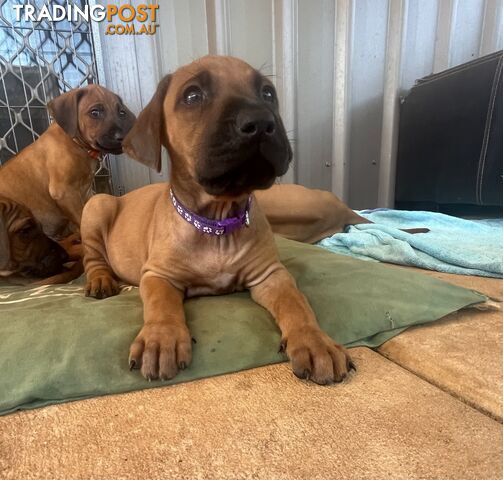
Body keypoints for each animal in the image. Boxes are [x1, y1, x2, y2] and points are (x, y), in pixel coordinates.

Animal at [0, 85, 136, 239]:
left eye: (121, 113)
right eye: (95, 112)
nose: (122, 137)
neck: (76, 144)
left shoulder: (86, 192)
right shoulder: (64, 192)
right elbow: (82, 219)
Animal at [80, 56, 352, 384]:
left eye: (268, 93)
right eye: (192, 95)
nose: (261, 122)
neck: (216, 224)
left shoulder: (271, 275)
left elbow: (297, 303)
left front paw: (315, 341)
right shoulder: (158, 274)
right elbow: (161, 304)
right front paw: (161, 338)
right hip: (97, 205)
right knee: (93, 259)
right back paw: (101, 280)